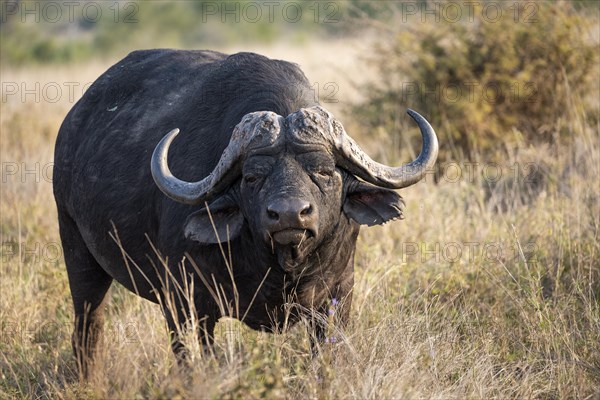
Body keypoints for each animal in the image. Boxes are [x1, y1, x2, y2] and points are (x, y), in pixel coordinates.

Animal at [54, 49, 438, 376]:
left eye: (325, 170)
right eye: (253, 176)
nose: (289, 215)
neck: (280, 266)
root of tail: (72, 124)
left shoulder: (337, 298)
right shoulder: (184, 305)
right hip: (77, 252)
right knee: (87, 329)